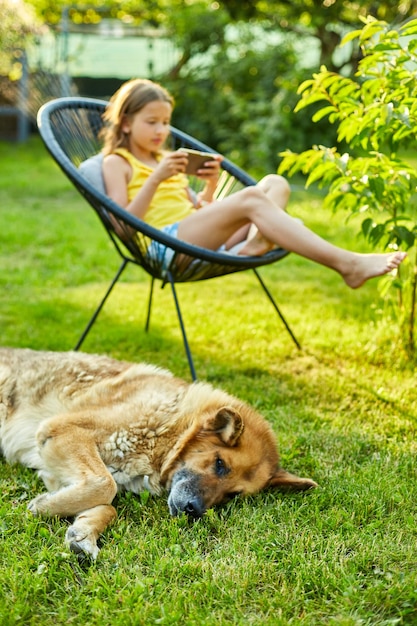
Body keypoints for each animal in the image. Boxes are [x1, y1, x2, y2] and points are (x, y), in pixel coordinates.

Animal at [0, 346, 316, 556]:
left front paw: (84, 531)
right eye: (219, 464)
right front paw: (44, 507)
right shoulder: (63, 430)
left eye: (233, 495)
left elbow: (107, 503)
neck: (171, 426)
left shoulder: (60, 467)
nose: (193, 511)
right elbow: (105, 485)